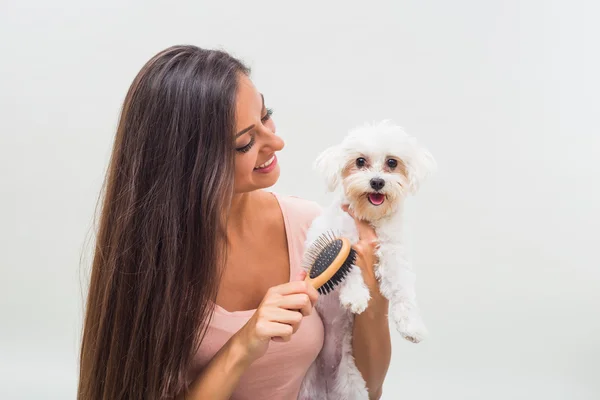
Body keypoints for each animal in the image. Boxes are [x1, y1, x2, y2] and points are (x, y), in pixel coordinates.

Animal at [300, 120, 436, 398]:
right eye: (360, 161)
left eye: (392, 163)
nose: (377, 181)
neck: (369, 219)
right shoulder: (335, 244)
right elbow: (348, 267)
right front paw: (355, 296)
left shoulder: (393, 252)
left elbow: (403, 289)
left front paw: (411, 325)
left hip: (351, 381)